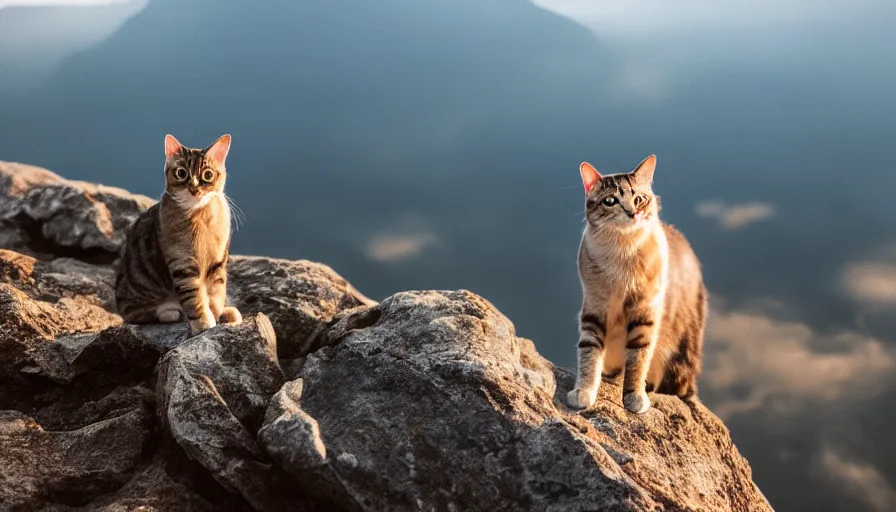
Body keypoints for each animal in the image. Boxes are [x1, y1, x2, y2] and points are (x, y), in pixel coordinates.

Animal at [114, 132, 242, 334]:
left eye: (207, 175)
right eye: (182, 173)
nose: (194, 188)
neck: (200, 217)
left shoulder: (218, 261)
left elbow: (216, 292)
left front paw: (218, 314)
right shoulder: (182, 263)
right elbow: (194, 298)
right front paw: (203, 323)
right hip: (137, 294)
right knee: (136, 314)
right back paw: (172, 312)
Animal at [568, 154, 708, 414]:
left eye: (639, 199)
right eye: (610, 201)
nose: (632, 213)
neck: (622, 252)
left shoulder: (644, 313)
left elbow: (638, 359)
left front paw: (634, 396)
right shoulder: (594, 307)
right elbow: (589, 353)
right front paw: (584, 391)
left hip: (681, 355)